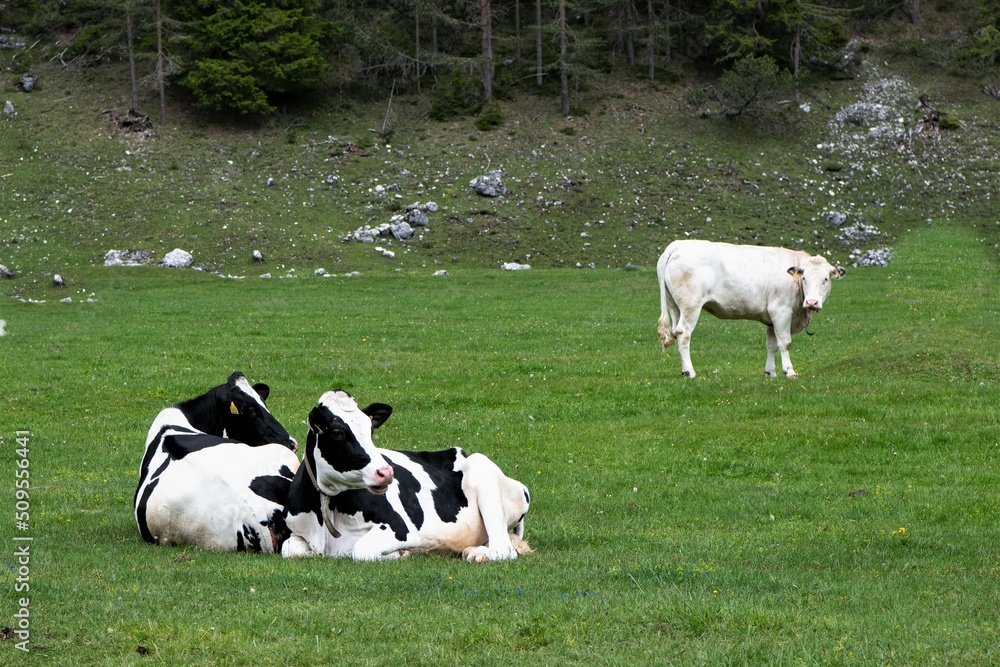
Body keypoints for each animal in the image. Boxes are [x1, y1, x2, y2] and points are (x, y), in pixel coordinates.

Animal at [282, 392, 532, 564]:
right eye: (337, 433)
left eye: (370, 430)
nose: (386, 472)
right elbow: (288, 548)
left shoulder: (398, 528)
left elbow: (360, 551)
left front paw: (400, 554)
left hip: (485, 475)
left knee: (503, 548)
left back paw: (477, 554)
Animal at [656, 240, 844, 378]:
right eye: (804, 278)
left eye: (826, 279)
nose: (812, 302)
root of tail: (677, 245)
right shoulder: (781, 312)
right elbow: (785, 343)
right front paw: (789, 371)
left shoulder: (771, 319)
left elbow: (771, 345)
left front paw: (770, 372)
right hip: (691, 306)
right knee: (683, 334)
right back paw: (690, 372)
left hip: (675, 306)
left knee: (675, 332)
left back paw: (683, 370)